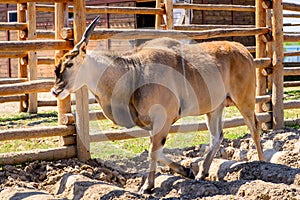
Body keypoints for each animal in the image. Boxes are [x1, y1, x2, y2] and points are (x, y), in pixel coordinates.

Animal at [51, 16, 262, 193]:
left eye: (69, 64)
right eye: (58, 66)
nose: (55, 90)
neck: (135, 72)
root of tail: (244, 50)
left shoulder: (163, 119)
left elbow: (153, 152)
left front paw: (147, 186)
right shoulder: (154, 124)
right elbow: (156, 151)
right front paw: (186, 171)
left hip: (245, 101)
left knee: (255, 129)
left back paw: (261, 163)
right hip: (215, 109)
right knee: (217, 136)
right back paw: (202, 172)